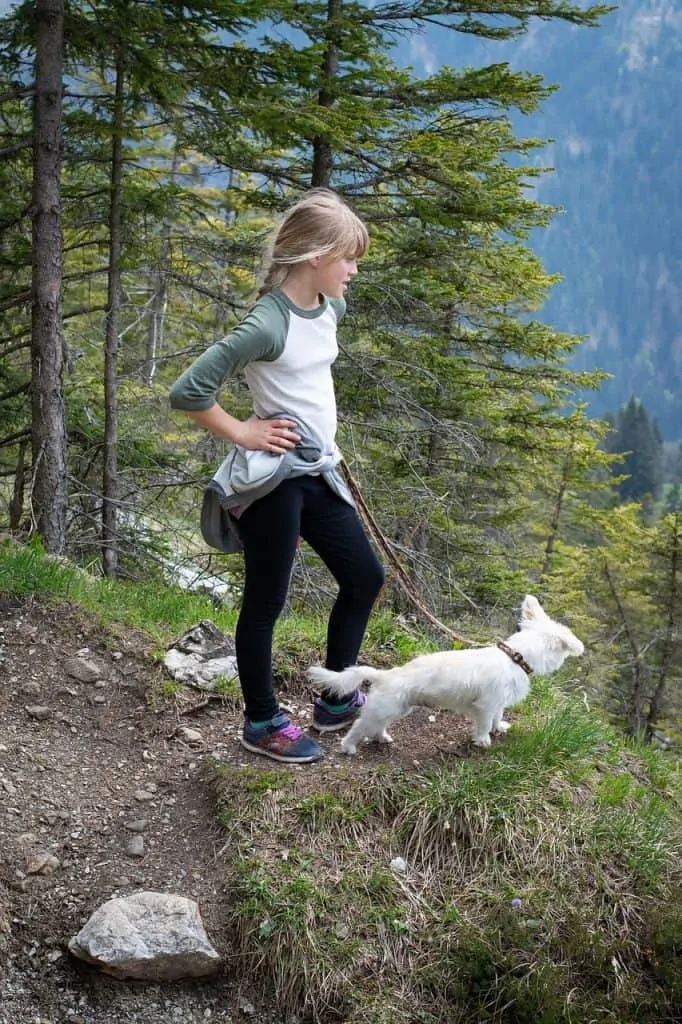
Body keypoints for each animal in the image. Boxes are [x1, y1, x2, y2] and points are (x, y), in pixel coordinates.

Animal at [305, 598, 581, 757]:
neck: (515, 656)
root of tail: (384, 675)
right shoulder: (486, 704)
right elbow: (483, 724)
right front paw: (483, 740)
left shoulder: (498, 702)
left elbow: (497, 717)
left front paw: (499, 728)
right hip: (384, 709)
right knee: (358, 727)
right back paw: (348, 747)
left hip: (395, 709)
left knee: (375, 727)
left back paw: (382, 737)